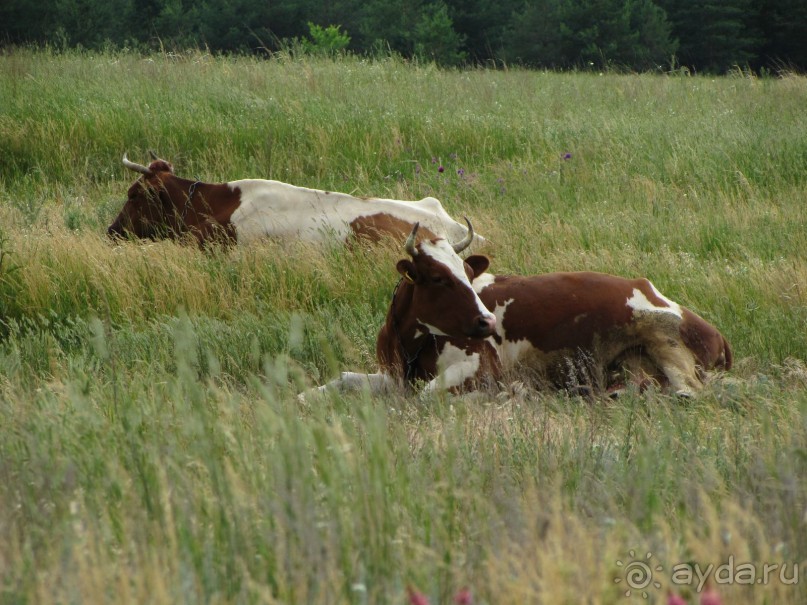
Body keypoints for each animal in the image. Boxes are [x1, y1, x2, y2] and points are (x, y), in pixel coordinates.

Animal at [304, 219, 732, 398]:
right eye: (439, 278)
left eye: (466, 272)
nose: (487, 321)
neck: (408, 342)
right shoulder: (392, 375)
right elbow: (336, 383)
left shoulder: (479, 367)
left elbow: (426, 397)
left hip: (666, 343)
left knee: (689, 393)